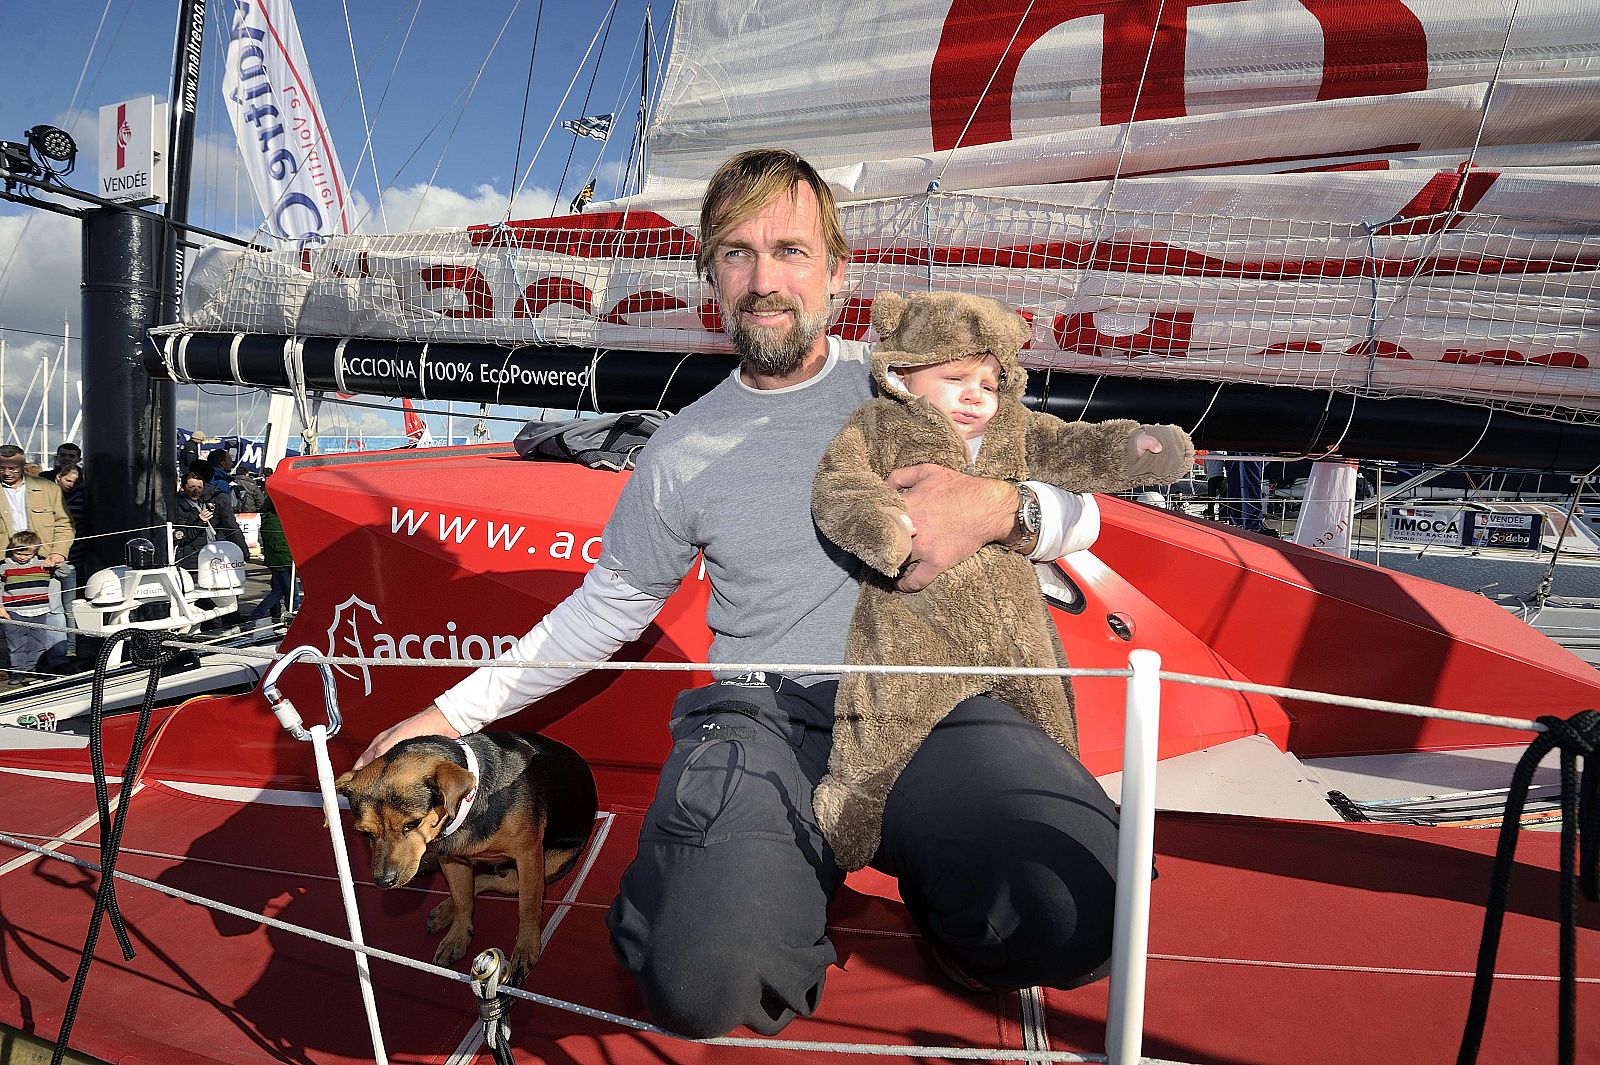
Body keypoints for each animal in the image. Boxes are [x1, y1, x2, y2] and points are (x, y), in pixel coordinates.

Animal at [334, 729, 598, 978]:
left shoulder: (528, 856)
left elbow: (528, 907)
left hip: (548, 865)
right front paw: (457, 937)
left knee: (493, 880)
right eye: (365, 833)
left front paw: (525, 948)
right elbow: (462, 900)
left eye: (413, 823)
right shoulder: (451, 858)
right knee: (478, 881)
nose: (383, 881)